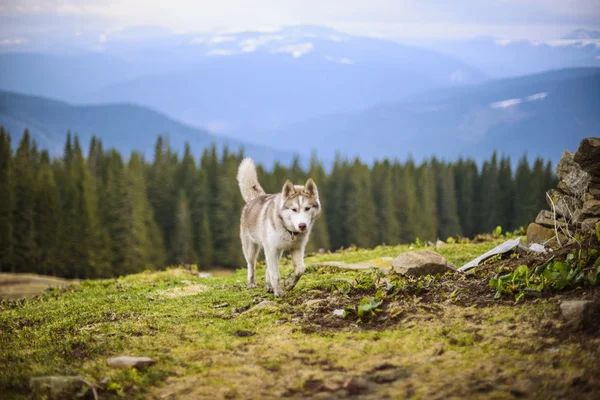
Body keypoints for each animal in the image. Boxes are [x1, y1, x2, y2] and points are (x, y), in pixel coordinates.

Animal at [238, 158, 324, 296]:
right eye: (294, 209)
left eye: (307, 208)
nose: (302, 225)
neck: (290, 232)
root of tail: (255, 198)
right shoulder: (271, 249)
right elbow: (275, 275)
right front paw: (279, 292)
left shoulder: (297, 248)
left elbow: (300, 269)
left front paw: (289, 283)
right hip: (251, 249)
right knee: (251, 265)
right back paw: (251, 284)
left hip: (277, 252)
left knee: (267, 268)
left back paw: (269, 286)